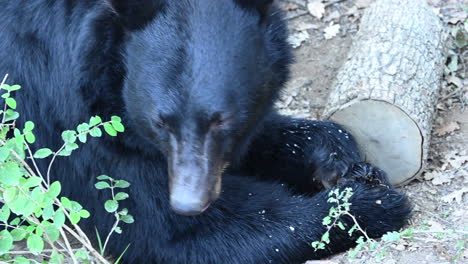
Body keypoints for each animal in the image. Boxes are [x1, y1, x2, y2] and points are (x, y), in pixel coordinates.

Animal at [0, 0, 410, 264]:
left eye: (221, 120)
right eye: (160, 121)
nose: (188, 203)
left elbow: (258, 140)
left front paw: (342, 160)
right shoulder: (67, 117)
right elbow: (174, 233)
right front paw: (370, 203)